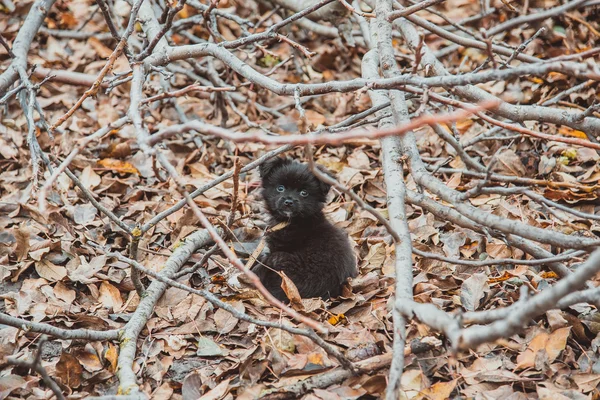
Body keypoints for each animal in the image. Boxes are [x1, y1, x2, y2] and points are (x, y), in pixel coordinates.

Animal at [252, 158, 358, 302]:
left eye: (304, 193)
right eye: (280, 188)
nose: (289, 202)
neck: (295, 221)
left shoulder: (277, 249)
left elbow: (262, 264)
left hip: (282, 261)